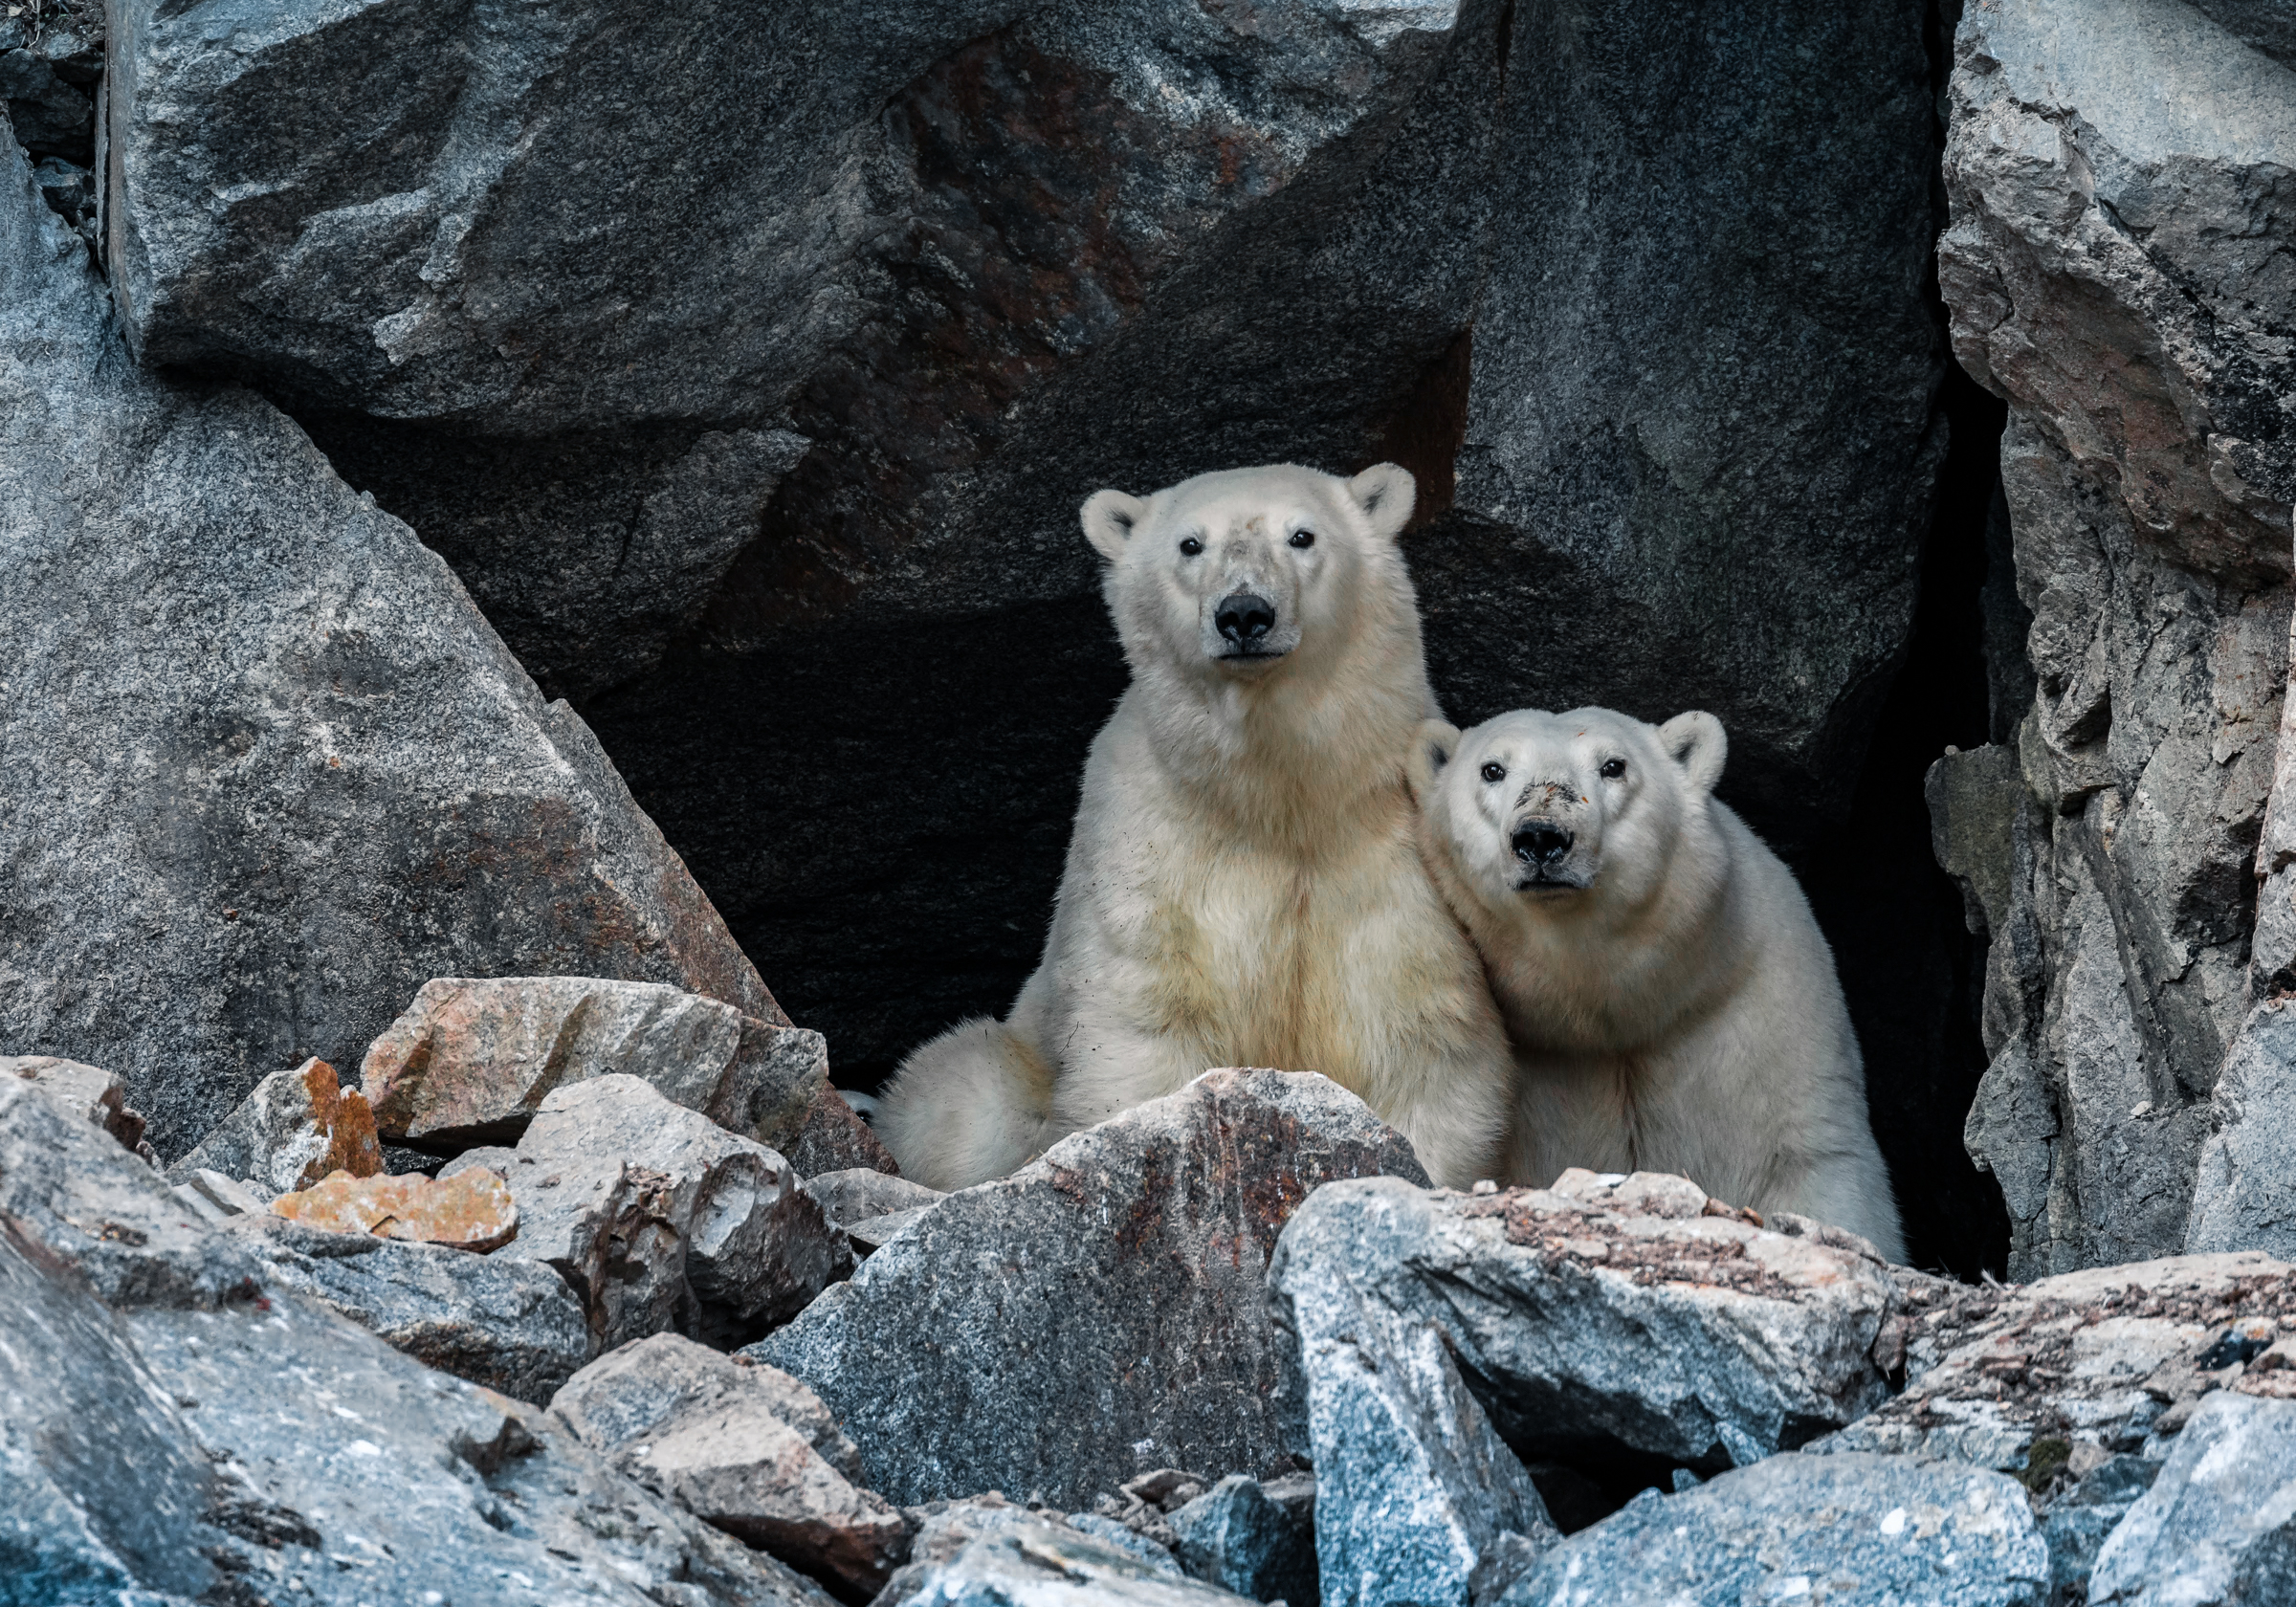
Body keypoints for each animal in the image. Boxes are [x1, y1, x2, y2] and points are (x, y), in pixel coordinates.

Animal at [881, 463, 1524, 1194]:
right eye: (1191, 544)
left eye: (1302, 535)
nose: (1244, 614)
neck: (1277, 802)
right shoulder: (1153, 850)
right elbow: (1142, 1024)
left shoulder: (1397, 862)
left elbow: (1425, 1038)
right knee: (962, 1098)